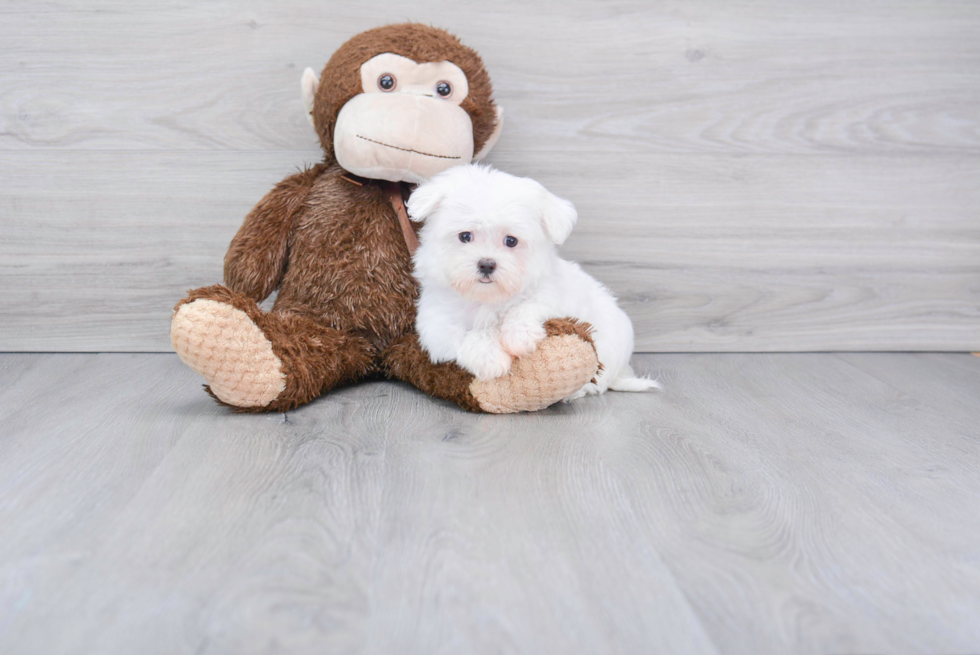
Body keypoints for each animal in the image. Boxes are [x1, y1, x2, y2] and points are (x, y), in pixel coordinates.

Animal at [406, 164, 660, 400]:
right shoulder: (436, 325)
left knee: (600, 378)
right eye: (465, 236)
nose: (486, 264)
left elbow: (529, 305)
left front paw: (519, 337)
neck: (488, 298)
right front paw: (490, 358)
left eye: (511, 241)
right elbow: (464, 335)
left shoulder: (553, 295)